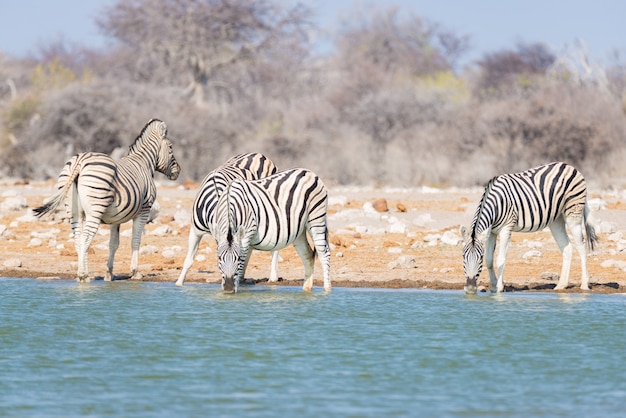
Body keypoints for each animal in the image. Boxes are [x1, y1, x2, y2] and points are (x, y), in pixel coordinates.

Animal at [33, 118, 179, 280]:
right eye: (171, 147)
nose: (178, 171)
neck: (144, 163)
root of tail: (80, 160)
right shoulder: (144, 210)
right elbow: (136, 240)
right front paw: (135, 272)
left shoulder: (116, 218)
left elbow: (113, 244)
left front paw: (109, 274)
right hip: (94, 210)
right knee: (85, 238)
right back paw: (83, 275)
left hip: (74, 211)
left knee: (78, 239)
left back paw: (82, 274)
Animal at [173, 153, 278, 288]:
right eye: (219, 258)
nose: (228, 285)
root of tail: (259, 154)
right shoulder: (195, 231)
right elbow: (188, 260)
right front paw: (179, 283)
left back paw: (273, 277)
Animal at [458, 161, 596, 294]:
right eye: (463, 256)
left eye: (479, 257)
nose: (470, 288)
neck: (496, 204)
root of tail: (570, 166)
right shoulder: (491, 232)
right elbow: (489, 260)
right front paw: (492, 286)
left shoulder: (506, 228)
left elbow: (500, 259)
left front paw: (499, 288)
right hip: (556, 220)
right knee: (567, 248)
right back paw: (561, 285)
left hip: (573, 212)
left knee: (582, 246)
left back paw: (584, 285)